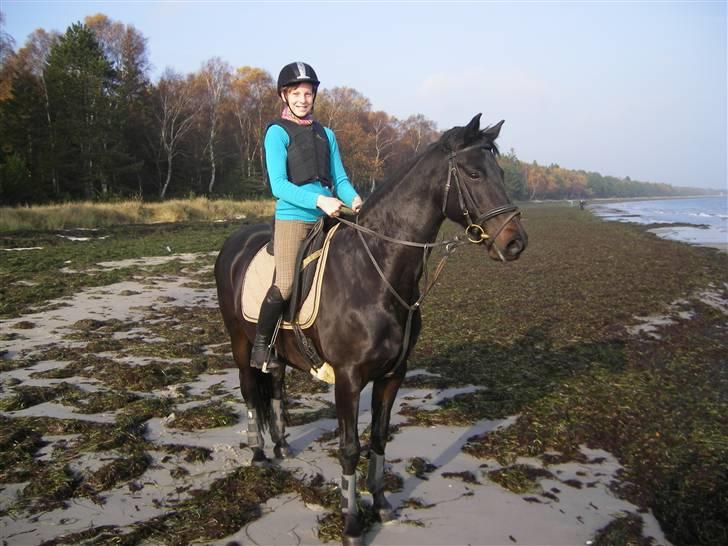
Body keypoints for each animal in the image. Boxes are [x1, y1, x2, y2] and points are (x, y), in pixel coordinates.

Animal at [213, 112, 528, 540]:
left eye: (500, 171)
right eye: (474, 173)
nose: (515, 242)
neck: (375, 270)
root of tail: (235, 242)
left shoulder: (393, 374)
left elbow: (379, 440)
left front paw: (379, 505)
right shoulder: (347, 378)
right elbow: (350, 448)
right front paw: (351, 522)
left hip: (277, 352)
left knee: (274, 385)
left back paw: (280, 445)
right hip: (240, 341)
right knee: (249, 391)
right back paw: (259, 452)